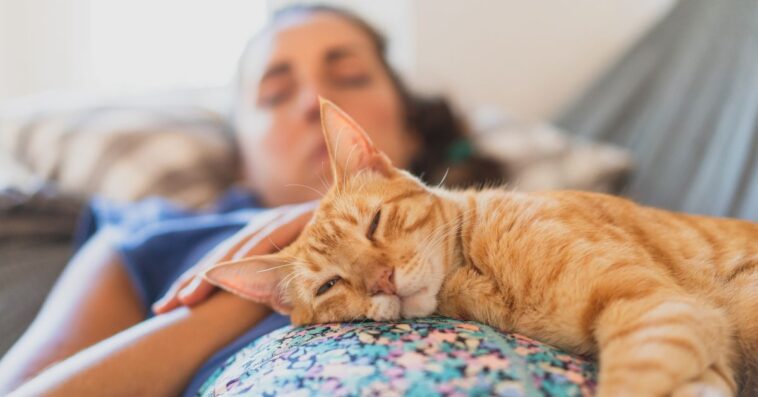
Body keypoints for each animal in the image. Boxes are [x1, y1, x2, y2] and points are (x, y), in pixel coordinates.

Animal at [205, 98, 756, 396]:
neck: (478, 274)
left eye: (374, 224)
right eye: (329, 285)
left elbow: (634, 379)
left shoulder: (657, 306)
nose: (382, 281)